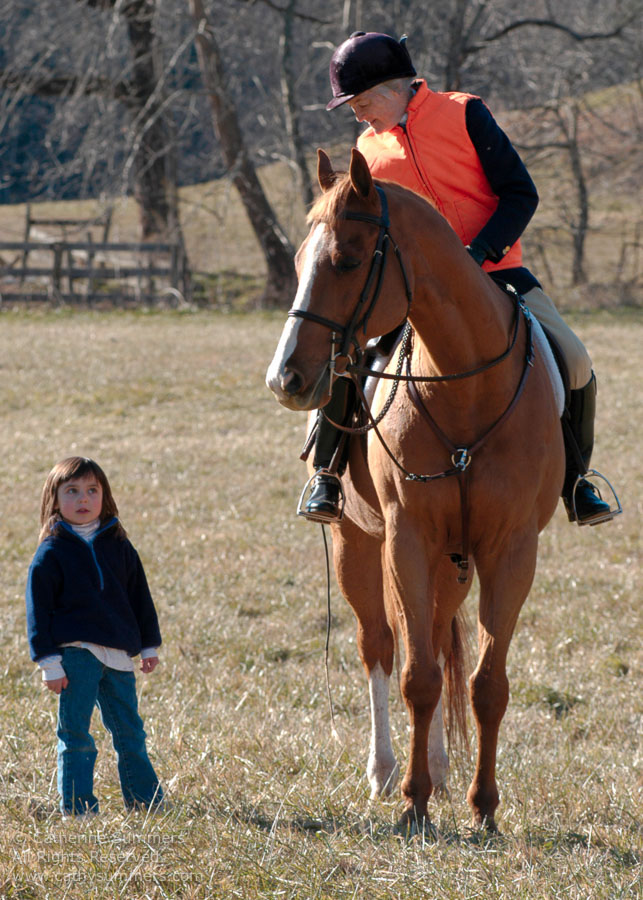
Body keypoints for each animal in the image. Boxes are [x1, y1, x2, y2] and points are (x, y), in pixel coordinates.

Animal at [266, 149, 564, 828]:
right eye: (298, 261)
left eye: (348, 259)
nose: (285, 377)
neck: (465, 387)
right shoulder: (406, 540)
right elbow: (416, 676)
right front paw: (413, 801)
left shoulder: (511, 551)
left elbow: (486, 683)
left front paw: (483, 807)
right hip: (358, 545)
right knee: (382, 645)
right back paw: (385, 769)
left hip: (451, 565)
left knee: (433, 636)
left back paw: (442, 769)